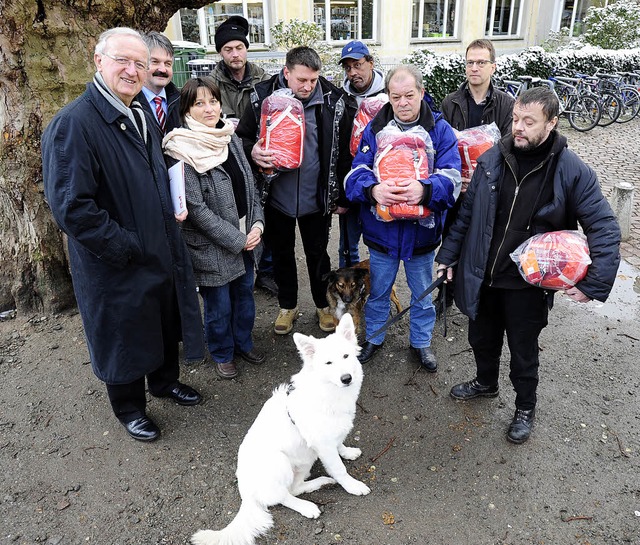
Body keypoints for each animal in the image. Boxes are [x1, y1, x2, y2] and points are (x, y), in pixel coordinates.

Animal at [190, 312, 370, 544]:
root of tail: (246, 493)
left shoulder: (330, 437)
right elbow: (339, 468)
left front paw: (347, 452)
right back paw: (306, 506)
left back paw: (321, 483)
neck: (329, 390)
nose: (346, 378)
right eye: (328, 363)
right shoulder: (323, 444)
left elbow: (339, 444)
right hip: (280, 461)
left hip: (304, 460)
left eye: (346, 356)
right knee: (281, 497)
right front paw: (352, 486)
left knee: (295, 488)